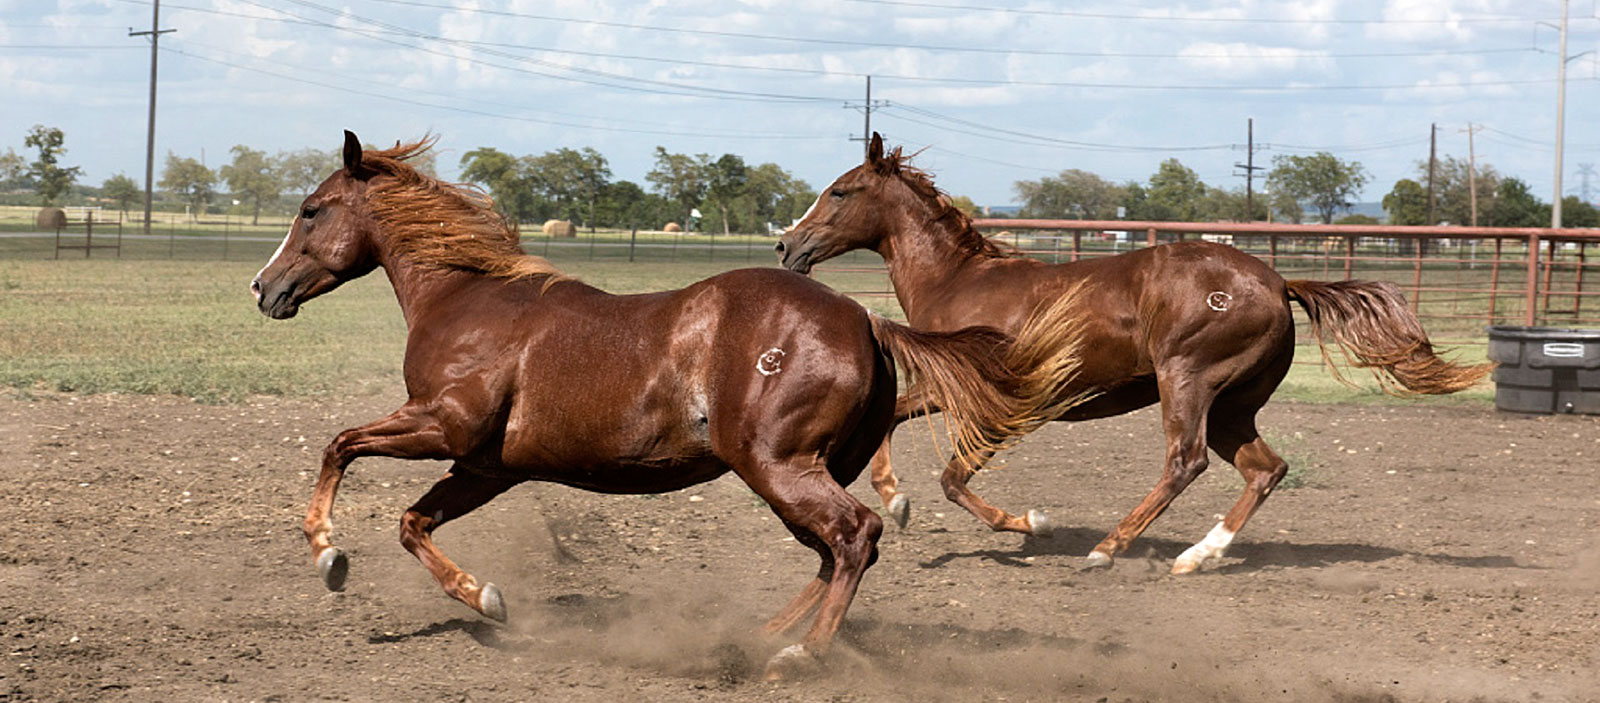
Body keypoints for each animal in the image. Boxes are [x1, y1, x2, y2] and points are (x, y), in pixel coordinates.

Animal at [249, 131, 1089, 679]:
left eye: (312, 208)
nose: (264, 287)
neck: (465, 300)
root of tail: (868, 322)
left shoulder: (441, 423)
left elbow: (338, 444)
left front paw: (327, 552)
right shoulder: (486, 465)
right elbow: (411, 521)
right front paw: (485, 598)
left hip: (776, 465)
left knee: (855, 536)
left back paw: (799, 653)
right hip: (796, 471)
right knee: (836, 549)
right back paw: (757, 634)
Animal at [776, 133, 1491, 575]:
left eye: (839, 191)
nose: (786, 246)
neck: (959, 281)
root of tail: (1278, 282)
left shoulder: (999, 400)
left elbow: (953, 477)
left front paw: (1031, 523)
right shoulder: (961, 388)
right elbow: (896, 418)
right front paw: (896, 502)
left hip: (1189, 380)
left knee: (1186, 460)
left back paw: (1108, 548)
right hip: (1234, 406)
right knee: (1265, 468)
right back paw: (1198, 556)